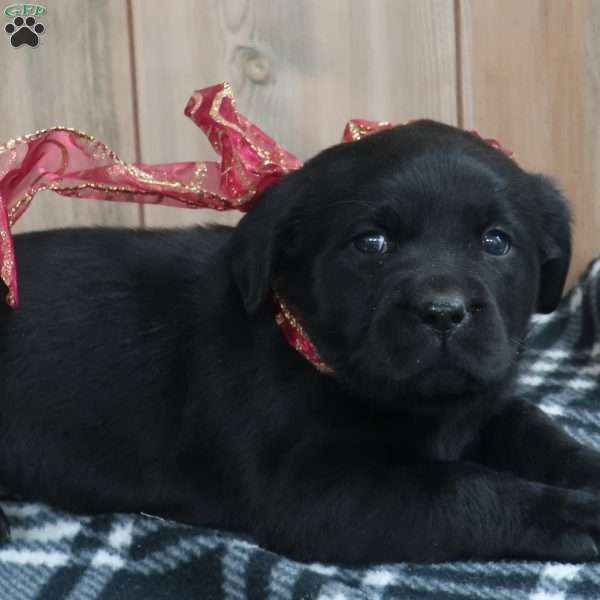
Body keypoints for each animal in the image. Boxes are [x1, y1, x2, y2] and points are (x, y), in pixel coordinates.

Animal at [1, 119, 600, 564]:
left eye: (496, 242)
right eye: (371, 243)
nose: (443, 313)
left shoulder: (482, 401)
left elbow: (532, 426)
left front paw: (587, 469)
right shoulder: (319, 494)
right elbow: (463, 488)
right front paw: (571, 514)